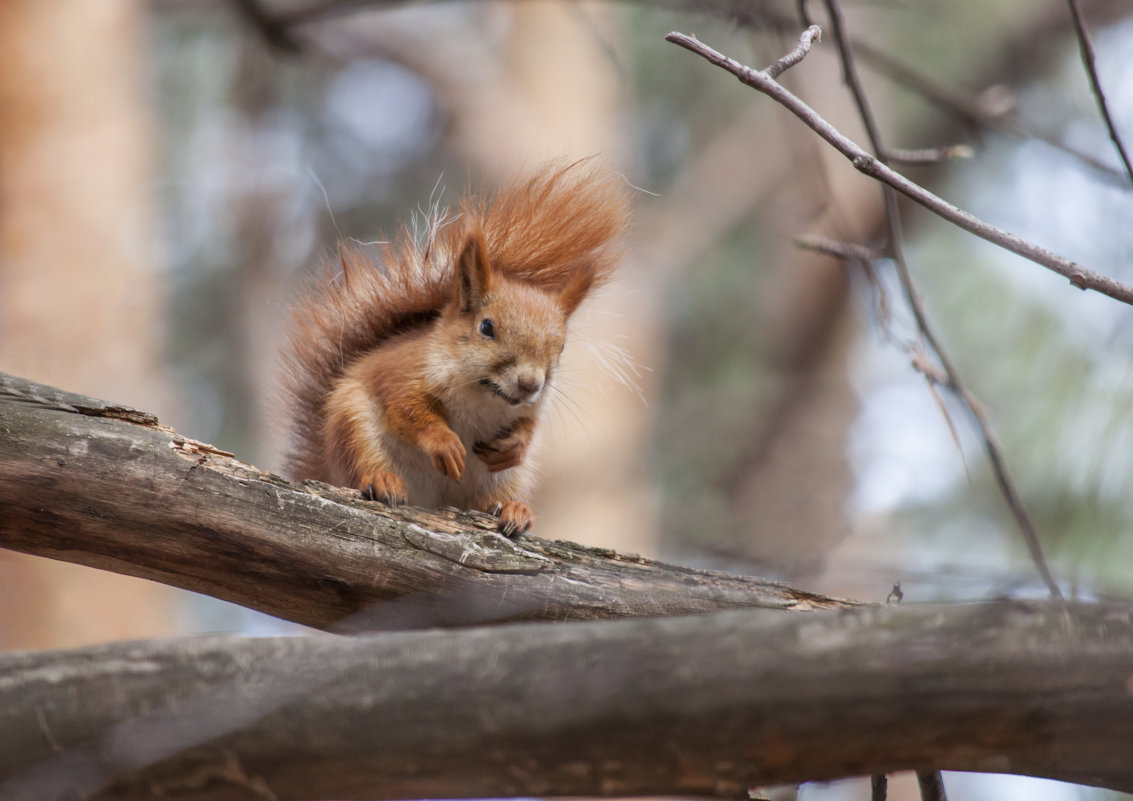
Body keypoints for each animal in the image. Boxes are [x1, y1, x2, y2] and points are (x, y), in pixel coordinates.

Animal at [277, 162, 625, 534]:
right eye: (486, 327)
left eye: (561, 347)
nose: (530, 384)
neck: (483, 396)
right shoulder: (401, 370)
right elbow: (407, 408)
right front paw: (445, 444)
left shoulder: (530, 410)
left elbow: (528, 429)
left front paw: (513, 446)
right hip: (353, 427)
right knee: (362, 467)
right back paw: (383, 481)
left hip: (506, 478)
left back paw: (513, 510)